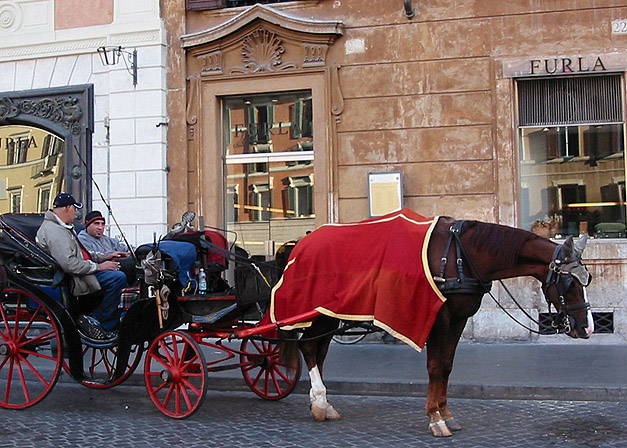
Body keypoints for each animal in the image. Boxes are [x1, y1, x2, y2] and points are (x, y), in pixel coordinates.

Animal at [278, 214, 592, 438]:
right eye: (570, 283)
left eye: (587, 279)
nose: (587, 328)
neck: (463, 255)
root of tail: (302, 243)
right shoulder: (438, 318)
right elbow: (435, 367)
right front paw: (435, 418)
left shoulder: (459, 318)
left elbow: (448, 366)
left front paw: (446, 413)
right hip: (317, 311)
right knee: (308, 346)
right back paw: (320, 401)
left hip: (329, 313)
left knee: (317, 349)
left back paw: (321, 403)